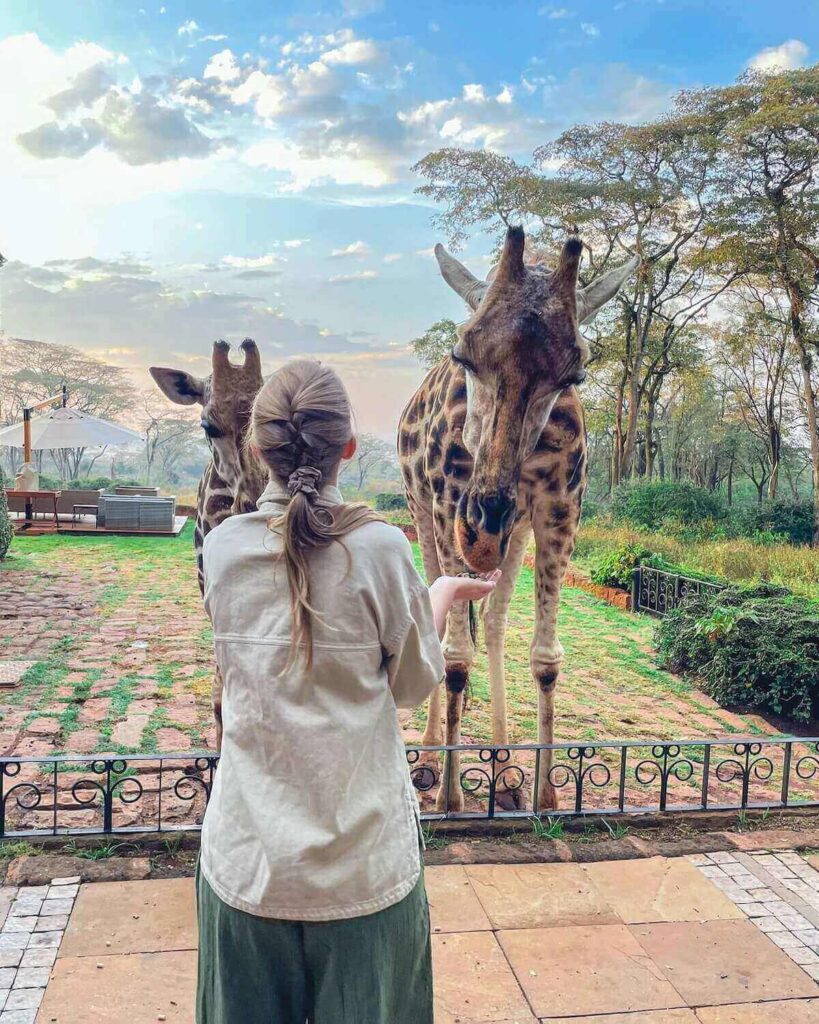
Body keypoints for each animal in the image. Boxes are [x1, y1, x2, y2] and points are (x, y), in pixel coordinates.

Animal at [399, 227, 638, 812]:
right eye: (462, 352)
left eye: (574, 372)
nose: (483, 535)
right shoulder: (447, 505)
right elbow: (454, 656)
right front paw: (450, 799)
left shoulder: (557, 511)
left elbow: (546, 658)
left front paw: (544, 796)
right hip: (422, 511)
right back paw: (427, 762)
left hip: (517, 532)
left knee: (495, 621)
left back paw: (504, 769)